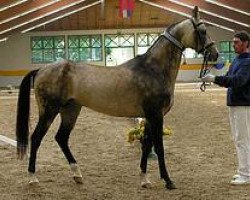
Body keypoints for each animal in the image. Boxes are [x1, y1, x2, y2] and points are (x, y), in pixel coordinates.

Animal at [16, 6, 219, 189]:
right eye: (202, 30)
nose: (215, 54)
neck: (153, 69)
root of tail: (42, 69)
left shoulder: (148, 117)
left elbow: (147, 145)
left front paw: (144, 180)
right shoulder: (156, 115)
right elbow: (159, 147)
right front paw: (168, 181)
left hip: (71, 110)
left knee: (61, 138)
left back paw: (77, 175)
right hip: (49, 111)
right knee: (36, 138)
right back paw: (33, 178)